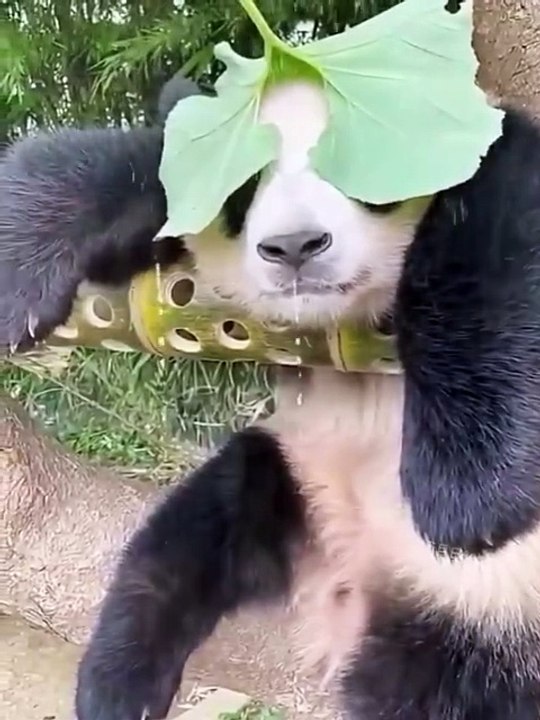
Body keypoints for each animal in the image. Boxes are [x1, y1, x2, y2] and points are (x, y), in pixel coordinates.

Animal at [3, 59, 540, 720]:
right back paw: (116, 683)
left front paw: (467, 493)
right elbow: (156, 168)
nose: (293, 246)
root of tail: (351, 578)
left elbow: (491, 248)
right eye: (247, 182)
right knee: (194, 532)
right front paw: (22, 266)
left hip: (484, 624)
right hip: (293, 471)